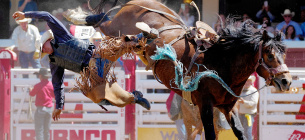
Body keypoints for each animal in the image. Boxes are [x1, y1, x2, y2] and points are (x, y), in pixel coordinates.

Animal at [67, 0, 290, 139]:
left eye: (284, 54)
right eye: (270, 55)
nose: (286, 81)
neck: (219, 63)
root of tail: (138, 3)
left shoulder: (228, 108)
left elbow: (240, 132)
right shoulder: (205, 105)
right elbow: (209, 134)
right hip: (114, 29)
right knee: (100, 20)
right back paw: (75, 17)